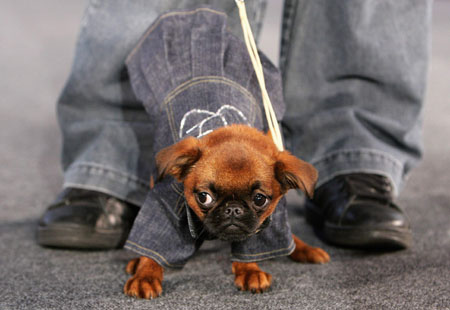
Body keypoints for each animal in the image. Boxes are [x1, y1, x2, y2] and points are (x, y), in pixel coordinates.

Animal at [125, 124, 328, 300]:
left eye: (259, 199)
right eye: (204, 197)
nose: (233, 209)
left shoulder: (267, 222)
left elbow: (251, 249)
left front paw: (249, 271)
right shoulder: (166, 207)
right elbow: (153, 246)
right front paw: (145, 275)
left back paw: (305, 249)